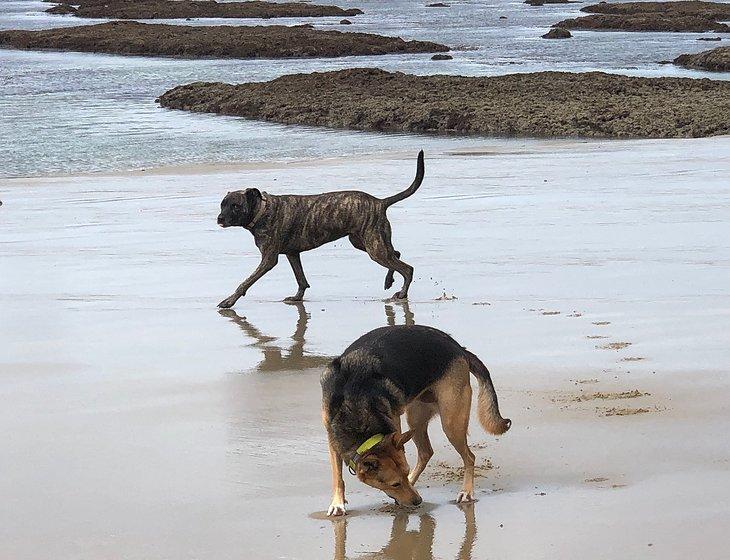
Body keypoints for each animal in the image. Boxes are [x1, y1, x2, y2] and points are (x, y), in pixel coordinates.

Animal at [213, 151, 424, 308]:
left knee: (407, 268)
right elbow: (300, 279)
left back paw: (402, 293)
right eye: (222, 205)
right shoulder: (292, 254)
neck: (262, 211)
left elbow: (245, 282)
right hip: (365, 242)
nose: (219, 218)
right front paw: (298, 297)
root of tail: (380, 202)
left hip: (374, 248)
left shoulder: (268, 259)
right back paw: (389, 281)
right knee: (396, 254)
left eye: (235, 206)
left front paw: (229, 300)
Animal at [322, 324, 510, 516]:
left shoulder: (394, 425)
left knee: (469, 457)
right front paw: (338, 503)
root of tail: (458, 347)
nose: (418, 501)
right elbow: (337, 476)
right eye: (395, 484)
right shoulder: (331, 435)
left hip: (451, 423)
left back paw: (466, 491)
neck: (357, 403)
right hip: (415, 419)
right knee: (426, 452)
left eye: (405, 473)